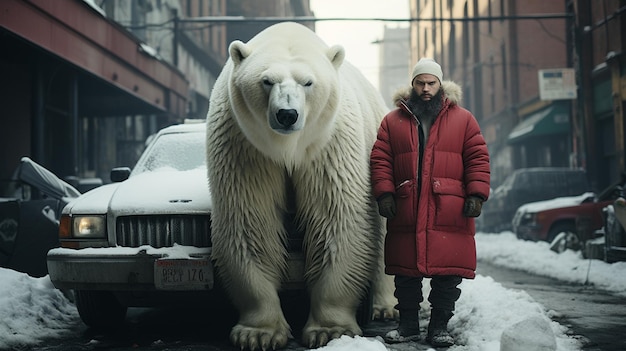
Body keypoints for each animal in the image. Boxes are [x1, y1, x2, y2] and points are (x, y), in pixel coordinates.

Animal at [206, 22, 394, 351]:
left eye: (308, 82)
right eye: (266, 80)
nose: (287, 114)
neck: (288, 147)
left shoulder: (328, 143)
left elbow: (336, 219)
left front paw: (329, 330)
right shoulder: (245, 145)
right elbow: (250, 221)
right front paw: (258, 333)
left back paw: (384, 307)